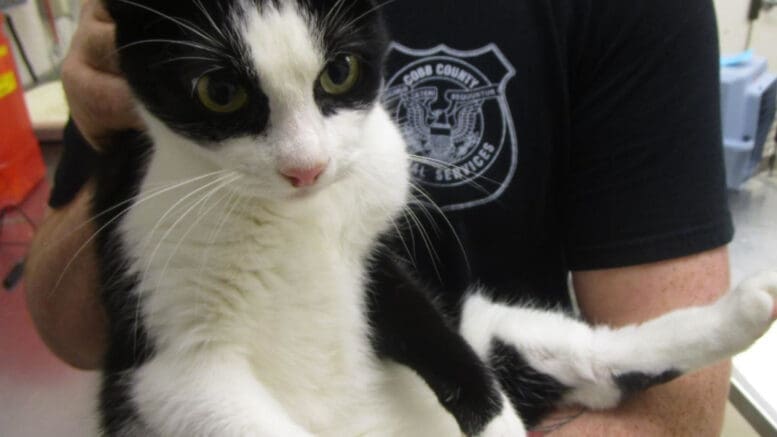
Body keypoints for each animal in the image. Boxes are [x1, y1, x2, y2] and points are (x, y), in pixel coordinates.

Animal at [91, 0, 776, 436]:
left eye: (338, 72)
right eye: (219, 91)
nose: (306, 167)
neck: (296, 217)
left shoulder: (377, 257)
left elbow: (435, 337)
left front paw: (496, 425)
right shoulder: (176, 365)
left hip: (492, 327)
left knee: (599, 354)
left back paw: (747, 306)